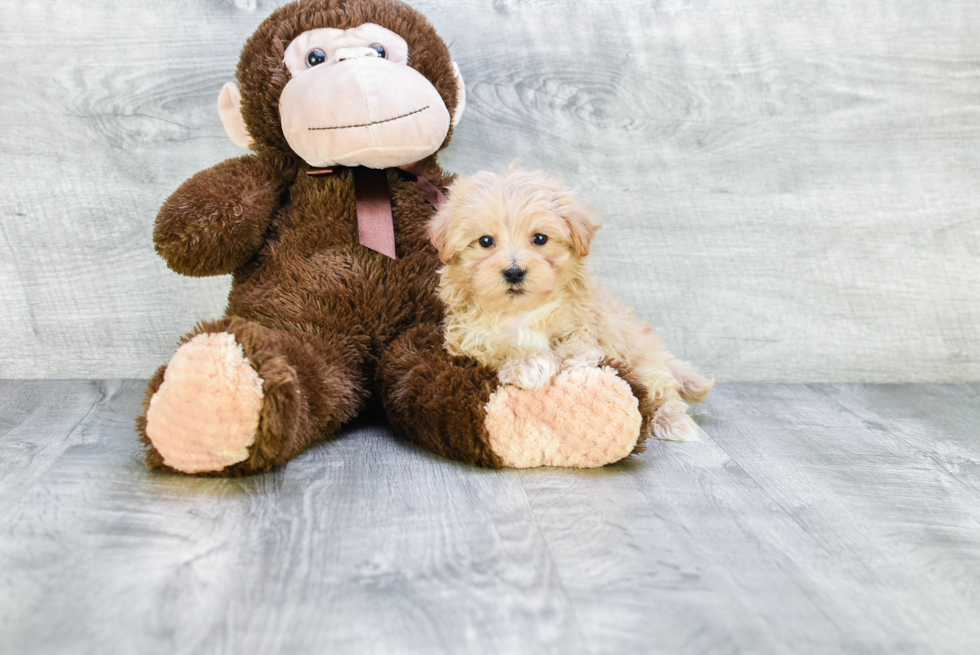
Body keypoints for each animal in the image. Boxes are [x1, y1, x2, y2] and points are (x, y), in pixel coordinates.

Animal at [428, 169, 712, 444]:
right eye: (485, 241)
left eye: (540, 238)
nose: (514, 272)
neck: (523, 311)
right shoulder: (464, 340)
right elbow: (497, 345)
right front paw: (529, 363)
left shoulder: (585, 319)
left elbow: (577, 341)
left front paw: (573, 357)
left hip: (639, 357)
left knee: (665, 389)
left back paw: (672, 421)